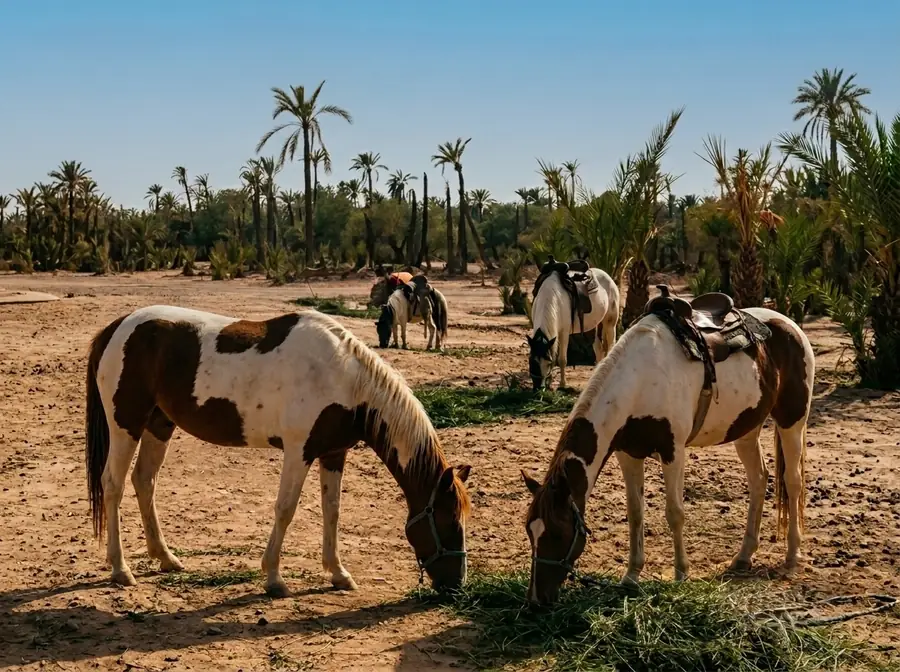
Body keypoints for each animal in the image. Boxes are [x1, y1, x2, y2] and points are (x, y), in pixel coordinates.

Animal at [85, 305, 471, 597]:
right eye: (449, 520)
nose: (456, 586)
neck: (342, 377)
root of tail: (117, 327)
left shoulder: (333, 454)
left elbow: (332, 511)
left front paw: (338, 573)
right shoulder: (298, 452)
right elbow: (285, 509)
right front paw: (273, 578)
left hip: (159, 425)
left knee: (144, 481)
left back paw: (165, 558)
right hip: (126, 425)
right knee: (114, 484)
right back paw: (120, 569)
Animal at [522, 305, 814, 604]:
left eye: (557, 532)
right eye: (530, 530)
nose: (536, 599)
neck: (639, 381)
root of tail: (791, 326)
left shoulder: (673, 452)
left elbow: (675, 513)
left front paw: (681, 574)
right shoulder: (629, 454)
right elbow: (635, 513)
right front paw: (631, 575)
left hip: (792, 420)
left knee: (793, 482)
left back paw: (792, 556)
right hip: (746, 429)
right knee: (759, 479)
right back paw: (744, 556)